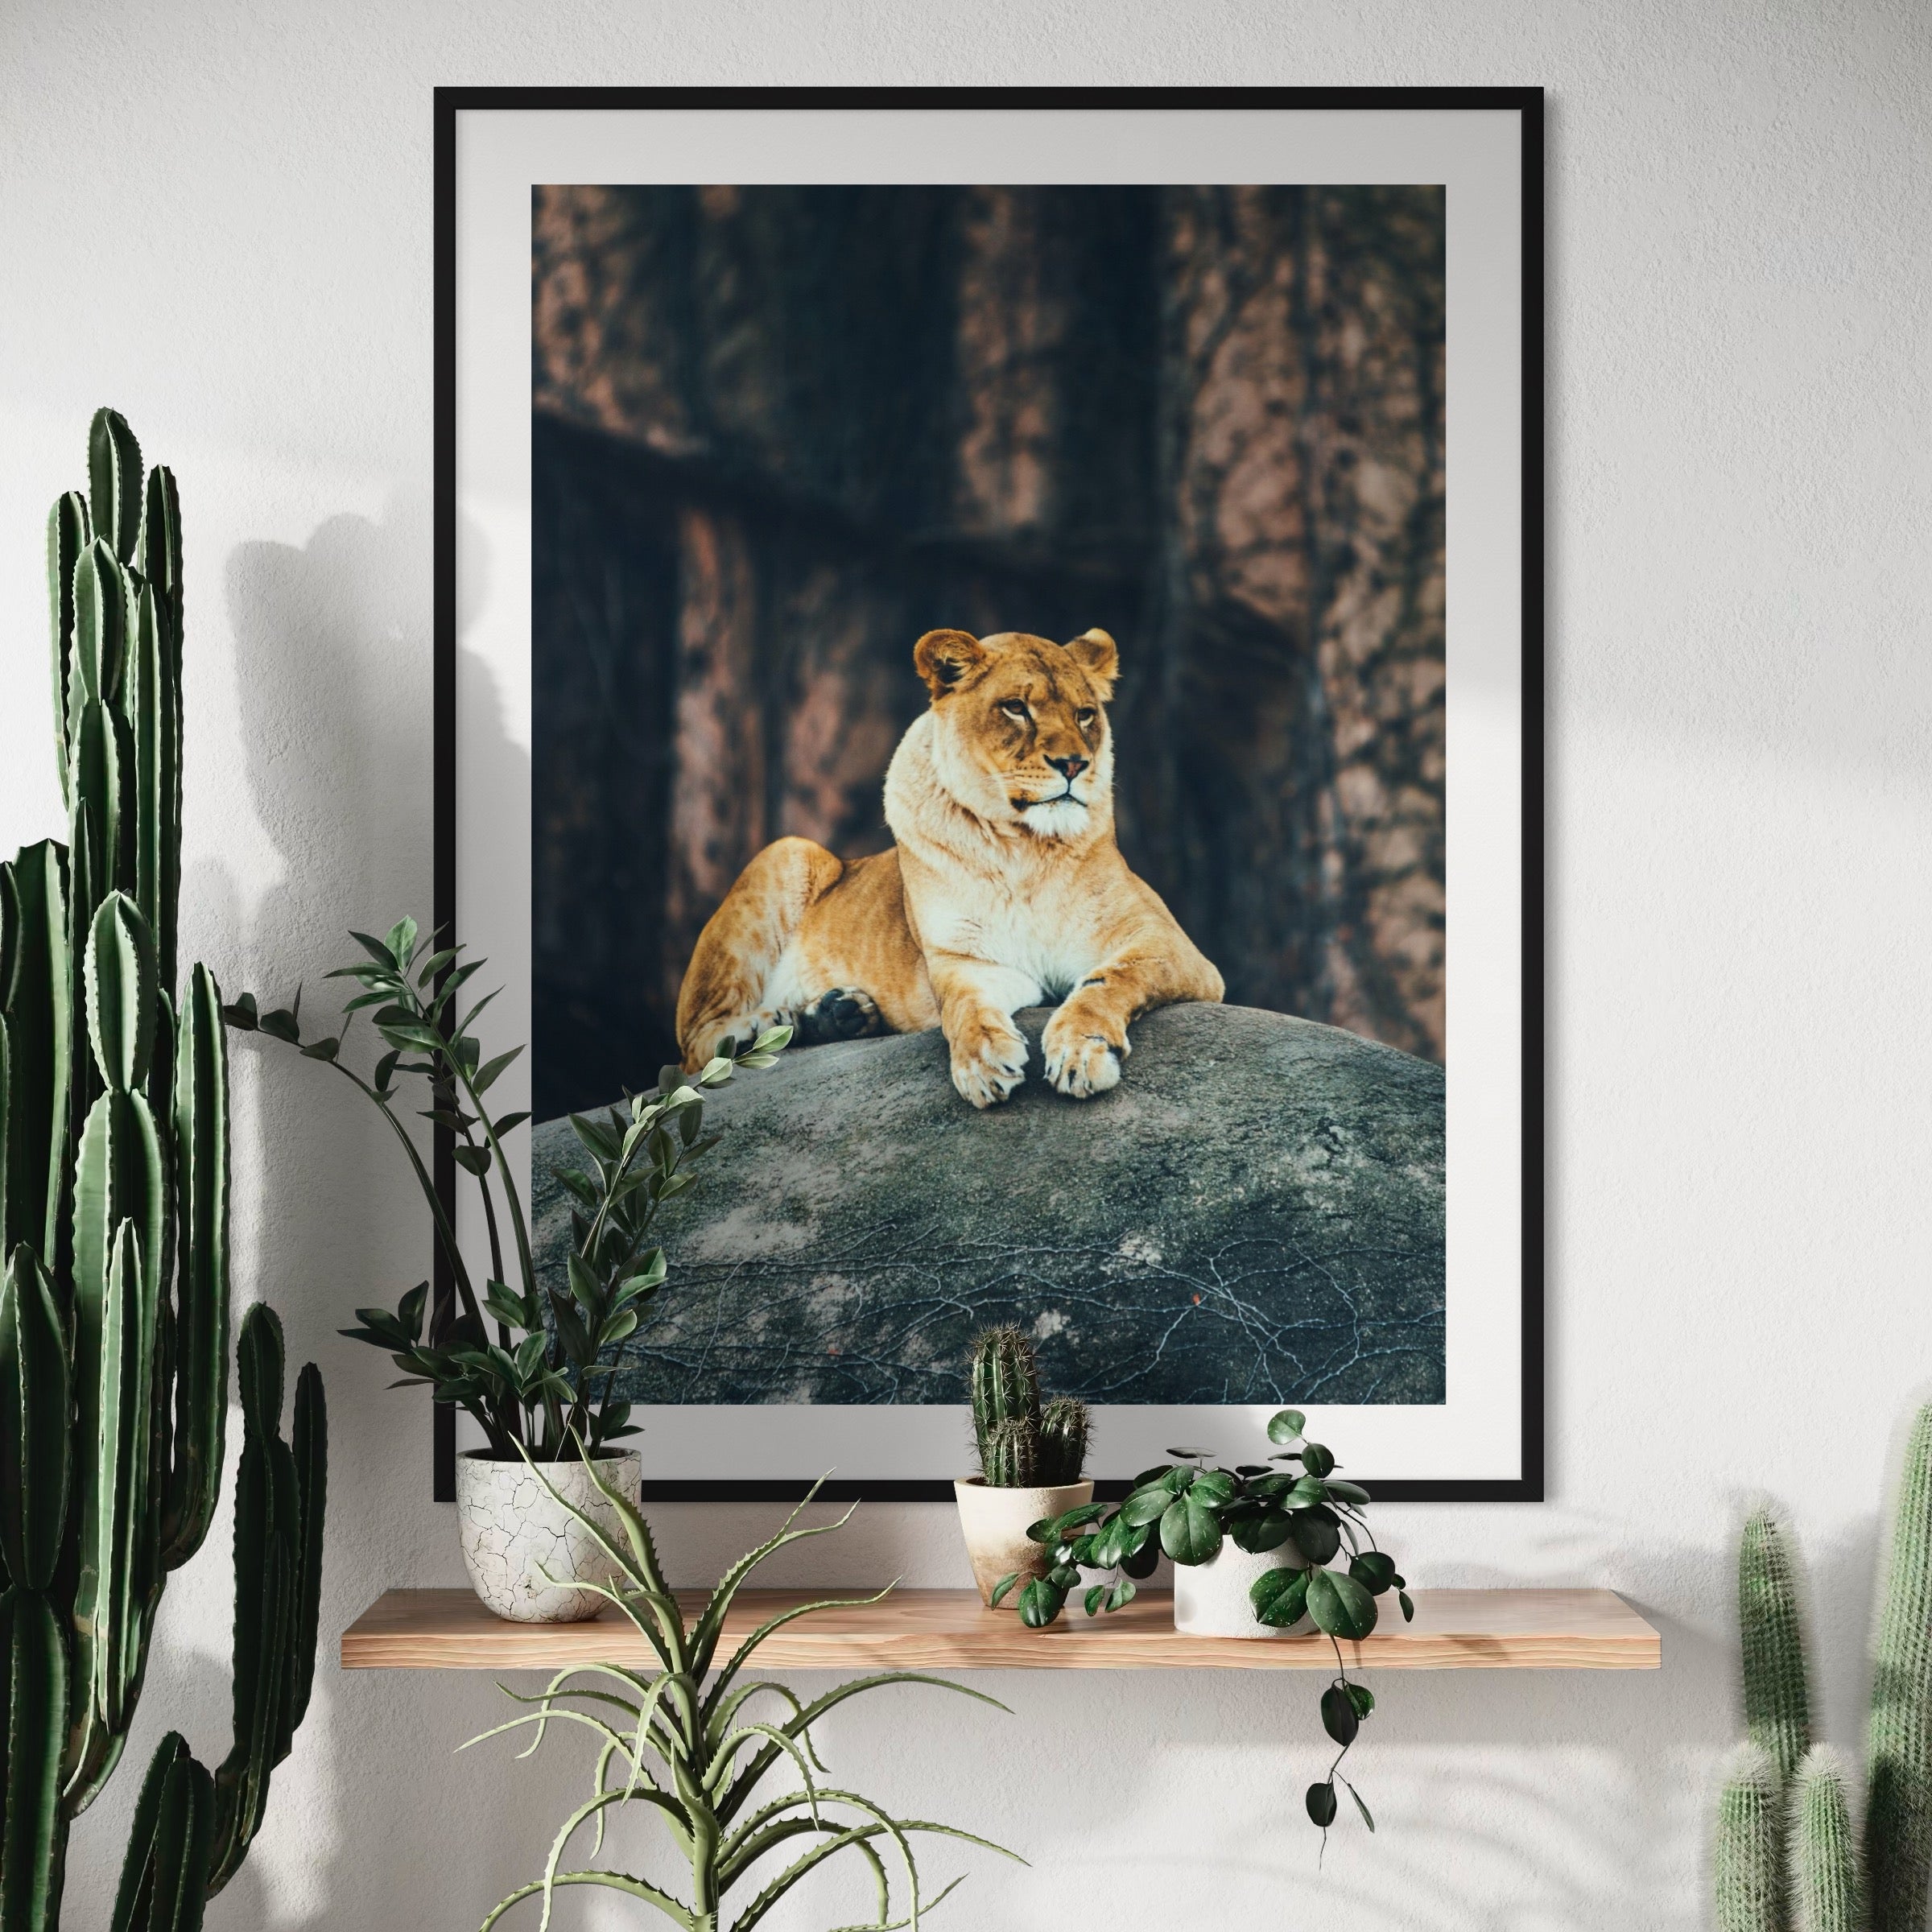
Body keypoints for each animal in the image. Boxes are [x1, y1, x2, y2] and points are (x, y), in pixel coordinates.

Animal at [674, 626, 1225, 1107]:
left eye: (1086, 714)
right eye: (1016, 708)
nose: (1074, 764)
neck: (1025, 849)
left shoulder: (1170, 945)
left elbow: (1110, 981)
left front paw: (1080, 1051)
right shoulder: (963, 957)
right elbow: (964, 1007)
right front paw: (982, 1063)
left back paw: (836, 1015)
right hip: (787, 851)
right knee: (695, 1050)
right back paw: (767, 1025)